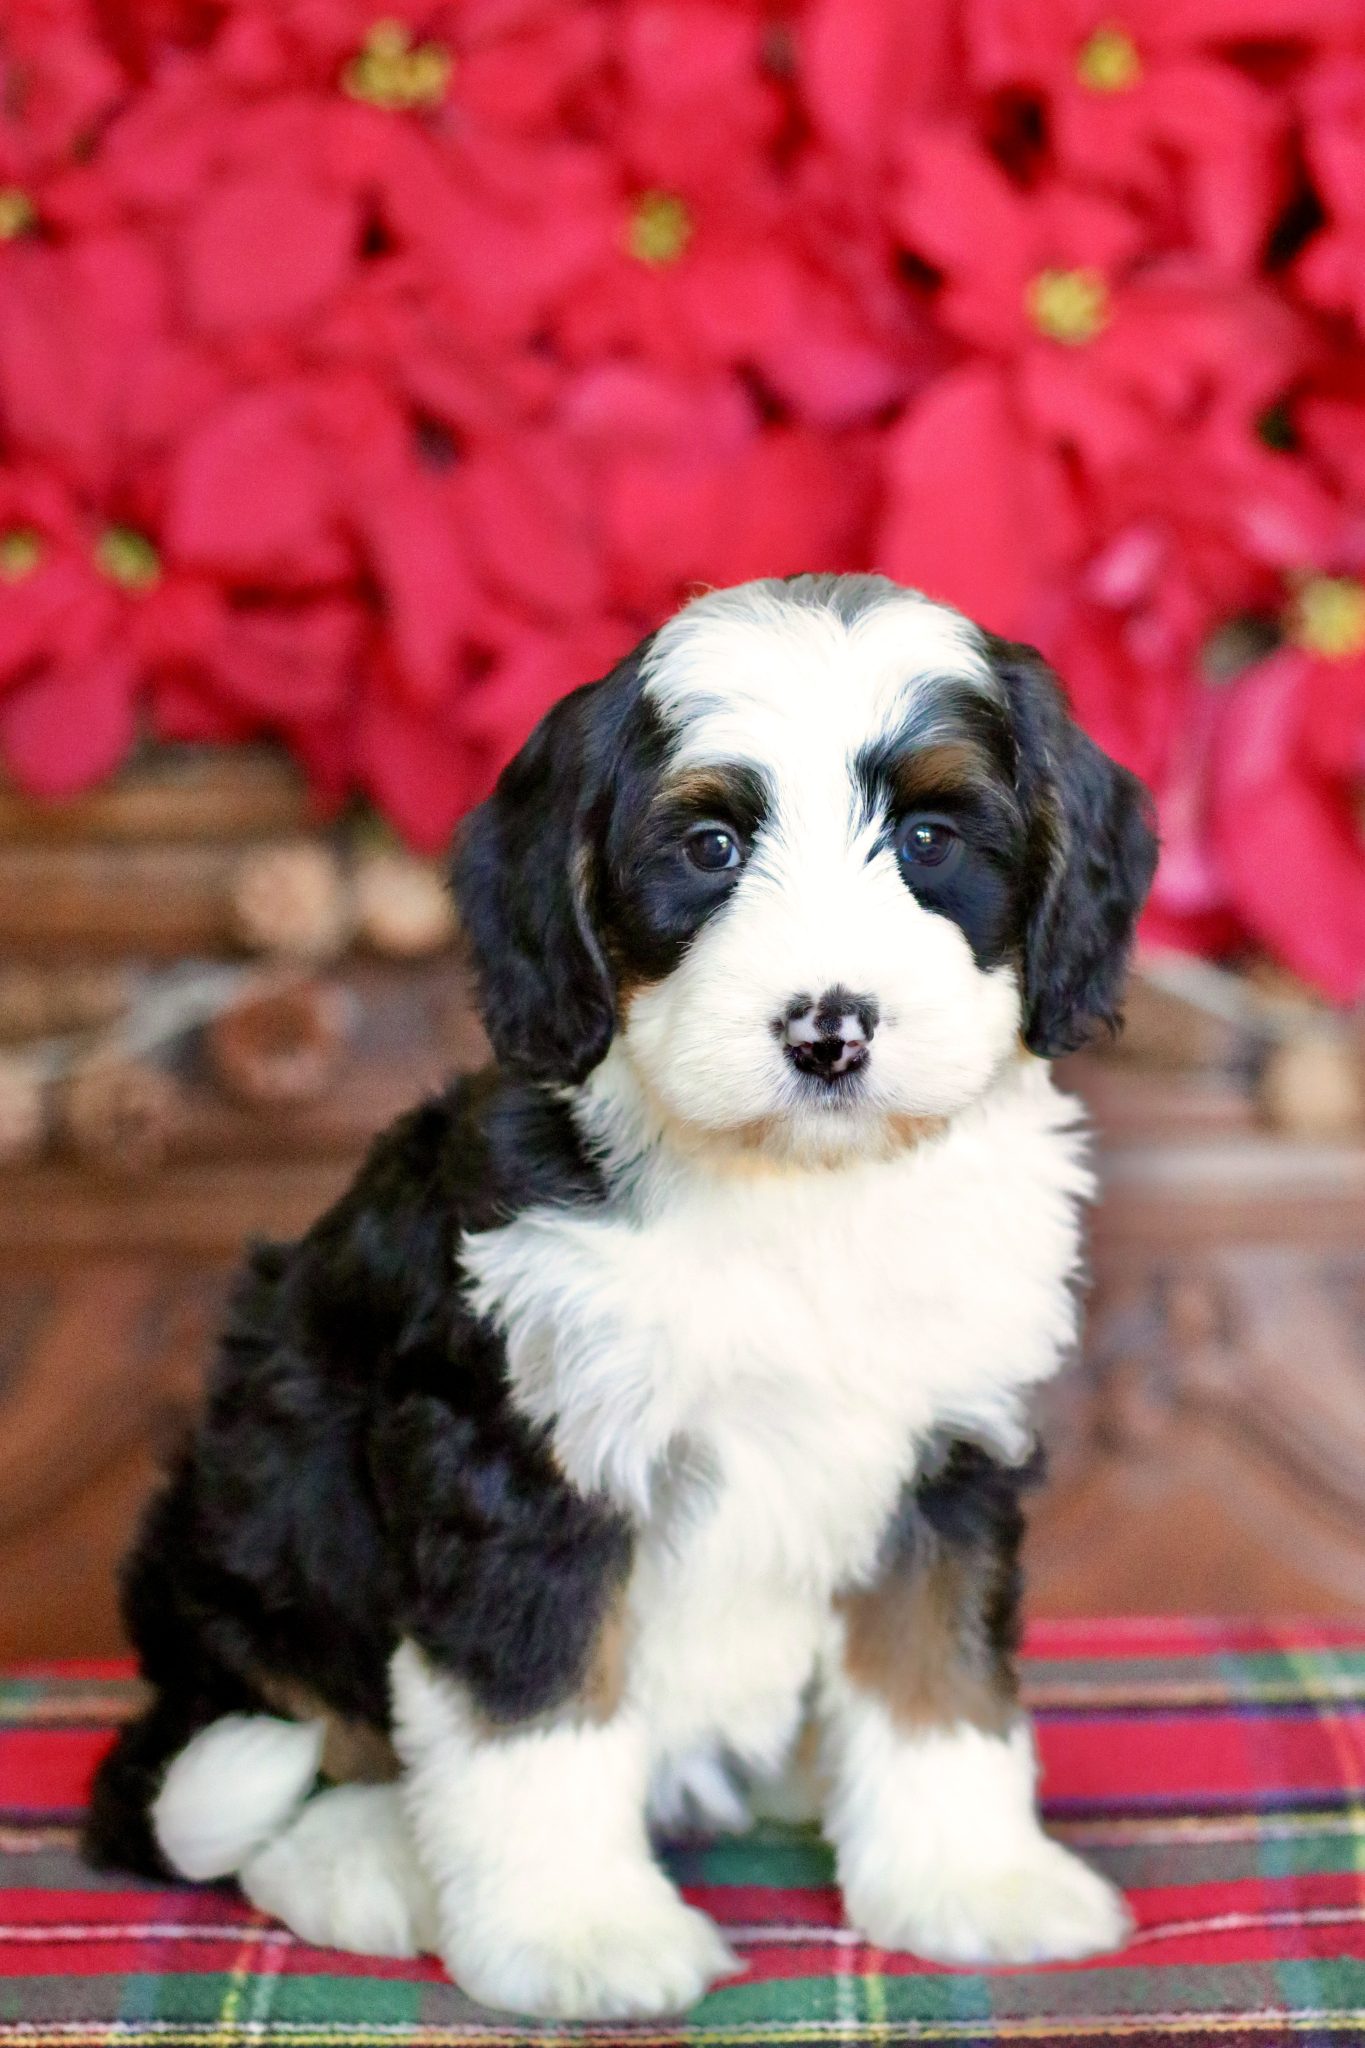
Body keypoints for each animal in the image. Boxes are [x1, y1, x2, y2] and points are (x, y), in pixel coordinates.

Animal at [82, 577, 1154, 2015]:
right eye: (708, 846)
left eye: (930, 837)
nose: (828, 1029)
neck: (799, 1193)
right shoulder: (517, 1459)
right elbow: (532, 1714)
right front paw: (576, 1934)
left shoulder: (949, 1452)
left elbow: (940, 1676)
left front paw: (972, 1882)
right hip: (262, 1500)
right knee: (283, 1744)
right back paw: (371, 1862)